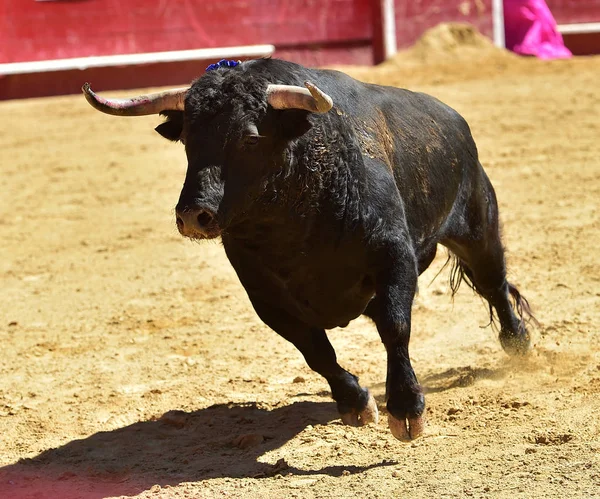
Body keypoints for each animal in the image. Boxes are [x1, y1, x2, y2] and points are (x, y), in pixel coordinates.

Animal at [83, 58, 536, 442]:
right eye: (187, 140)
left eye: (250, 138)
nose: (194, 215)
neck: (295, 223)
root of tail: (453, 119)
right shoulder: (265, 296)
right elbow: (315, 351)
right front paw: (356, 403)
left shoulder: (395, 255)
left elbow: (395, 328)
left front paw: (407, 409)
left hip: (478, 225)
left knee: (494, 283)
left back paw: (519, 345)